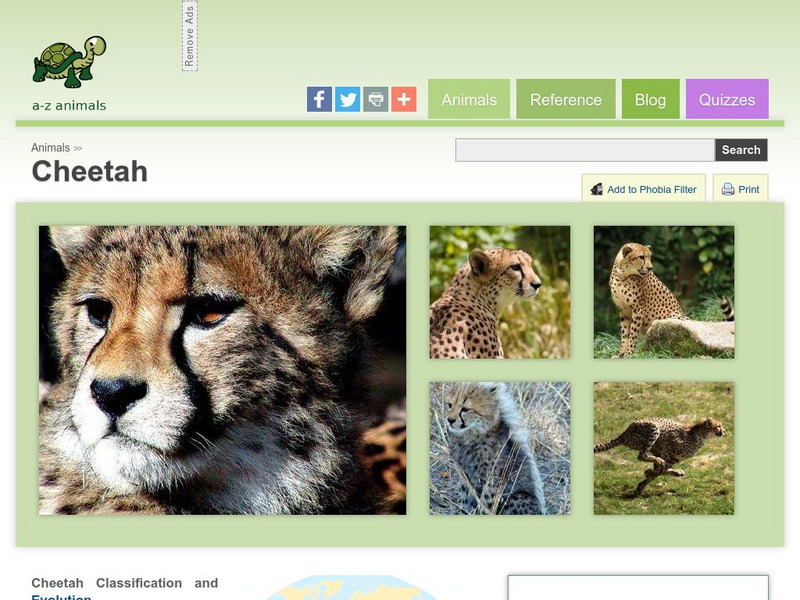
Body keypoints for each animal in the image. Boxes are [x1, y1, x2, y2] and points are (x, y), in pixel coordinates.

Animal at [443, 382, 546, 515]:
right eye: (449, 405)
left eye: (465, 409)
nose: (450, 420)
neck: (471, 435)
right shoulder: (465, 475)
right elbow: (465, 499)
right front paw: (462, 513)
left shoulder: (492, 480)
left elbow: (485, 503)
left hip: (516, 498)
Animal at [594, 417, 725, 496]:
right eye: (718, 426)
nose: (724, 431)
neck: (700, 435)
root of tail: (624, 434)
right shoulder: (668, 447)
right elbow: (658, 470)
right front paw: (647, 474)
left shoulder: (673, 458)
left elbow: (659, 471)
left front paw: (642, 484)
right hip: (653, 428)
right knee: (642, 455)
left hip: (655, 448)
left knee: (654, 461)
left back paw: (673, 471)